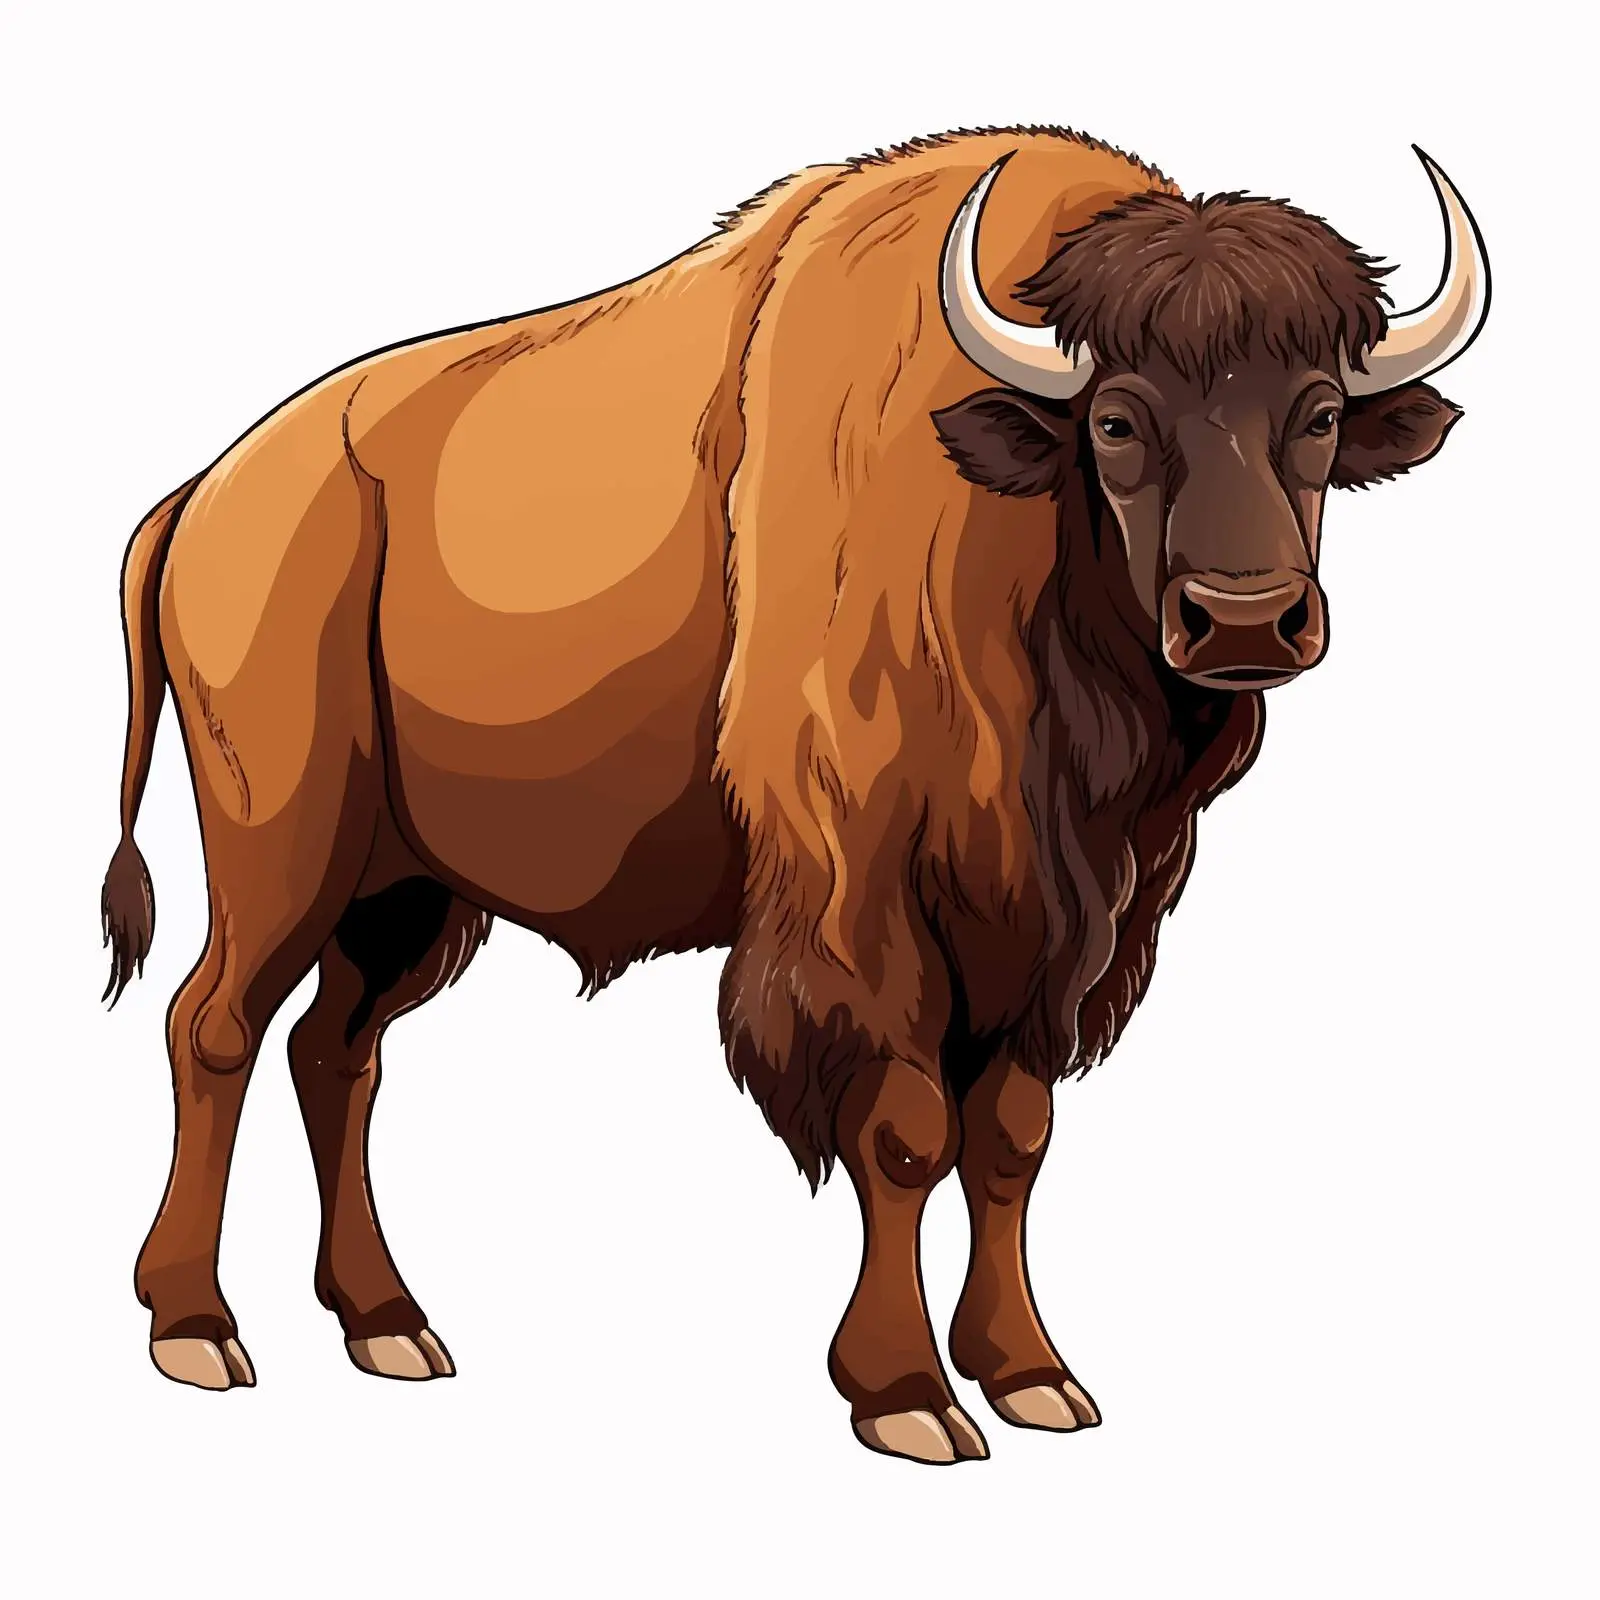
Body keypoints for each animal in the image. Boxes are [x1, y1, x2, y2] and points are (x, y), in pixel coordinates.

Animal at [102, 126, 1488, 1464]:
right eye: (1116, 422)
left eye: (1316, 414)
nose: (1244, 620)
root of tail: (207, 495)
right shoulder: (862, 899)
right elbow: (906, 1128)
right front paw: (908, 1399)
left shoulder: (1062, 925)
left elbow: (1013, 1134)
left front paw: (1031, 1376)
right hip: (284, 851)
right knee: (212, 1027)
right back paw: (197, 1329)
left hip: (403, 892)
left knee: (336, 1052)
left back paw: (388, 1324)